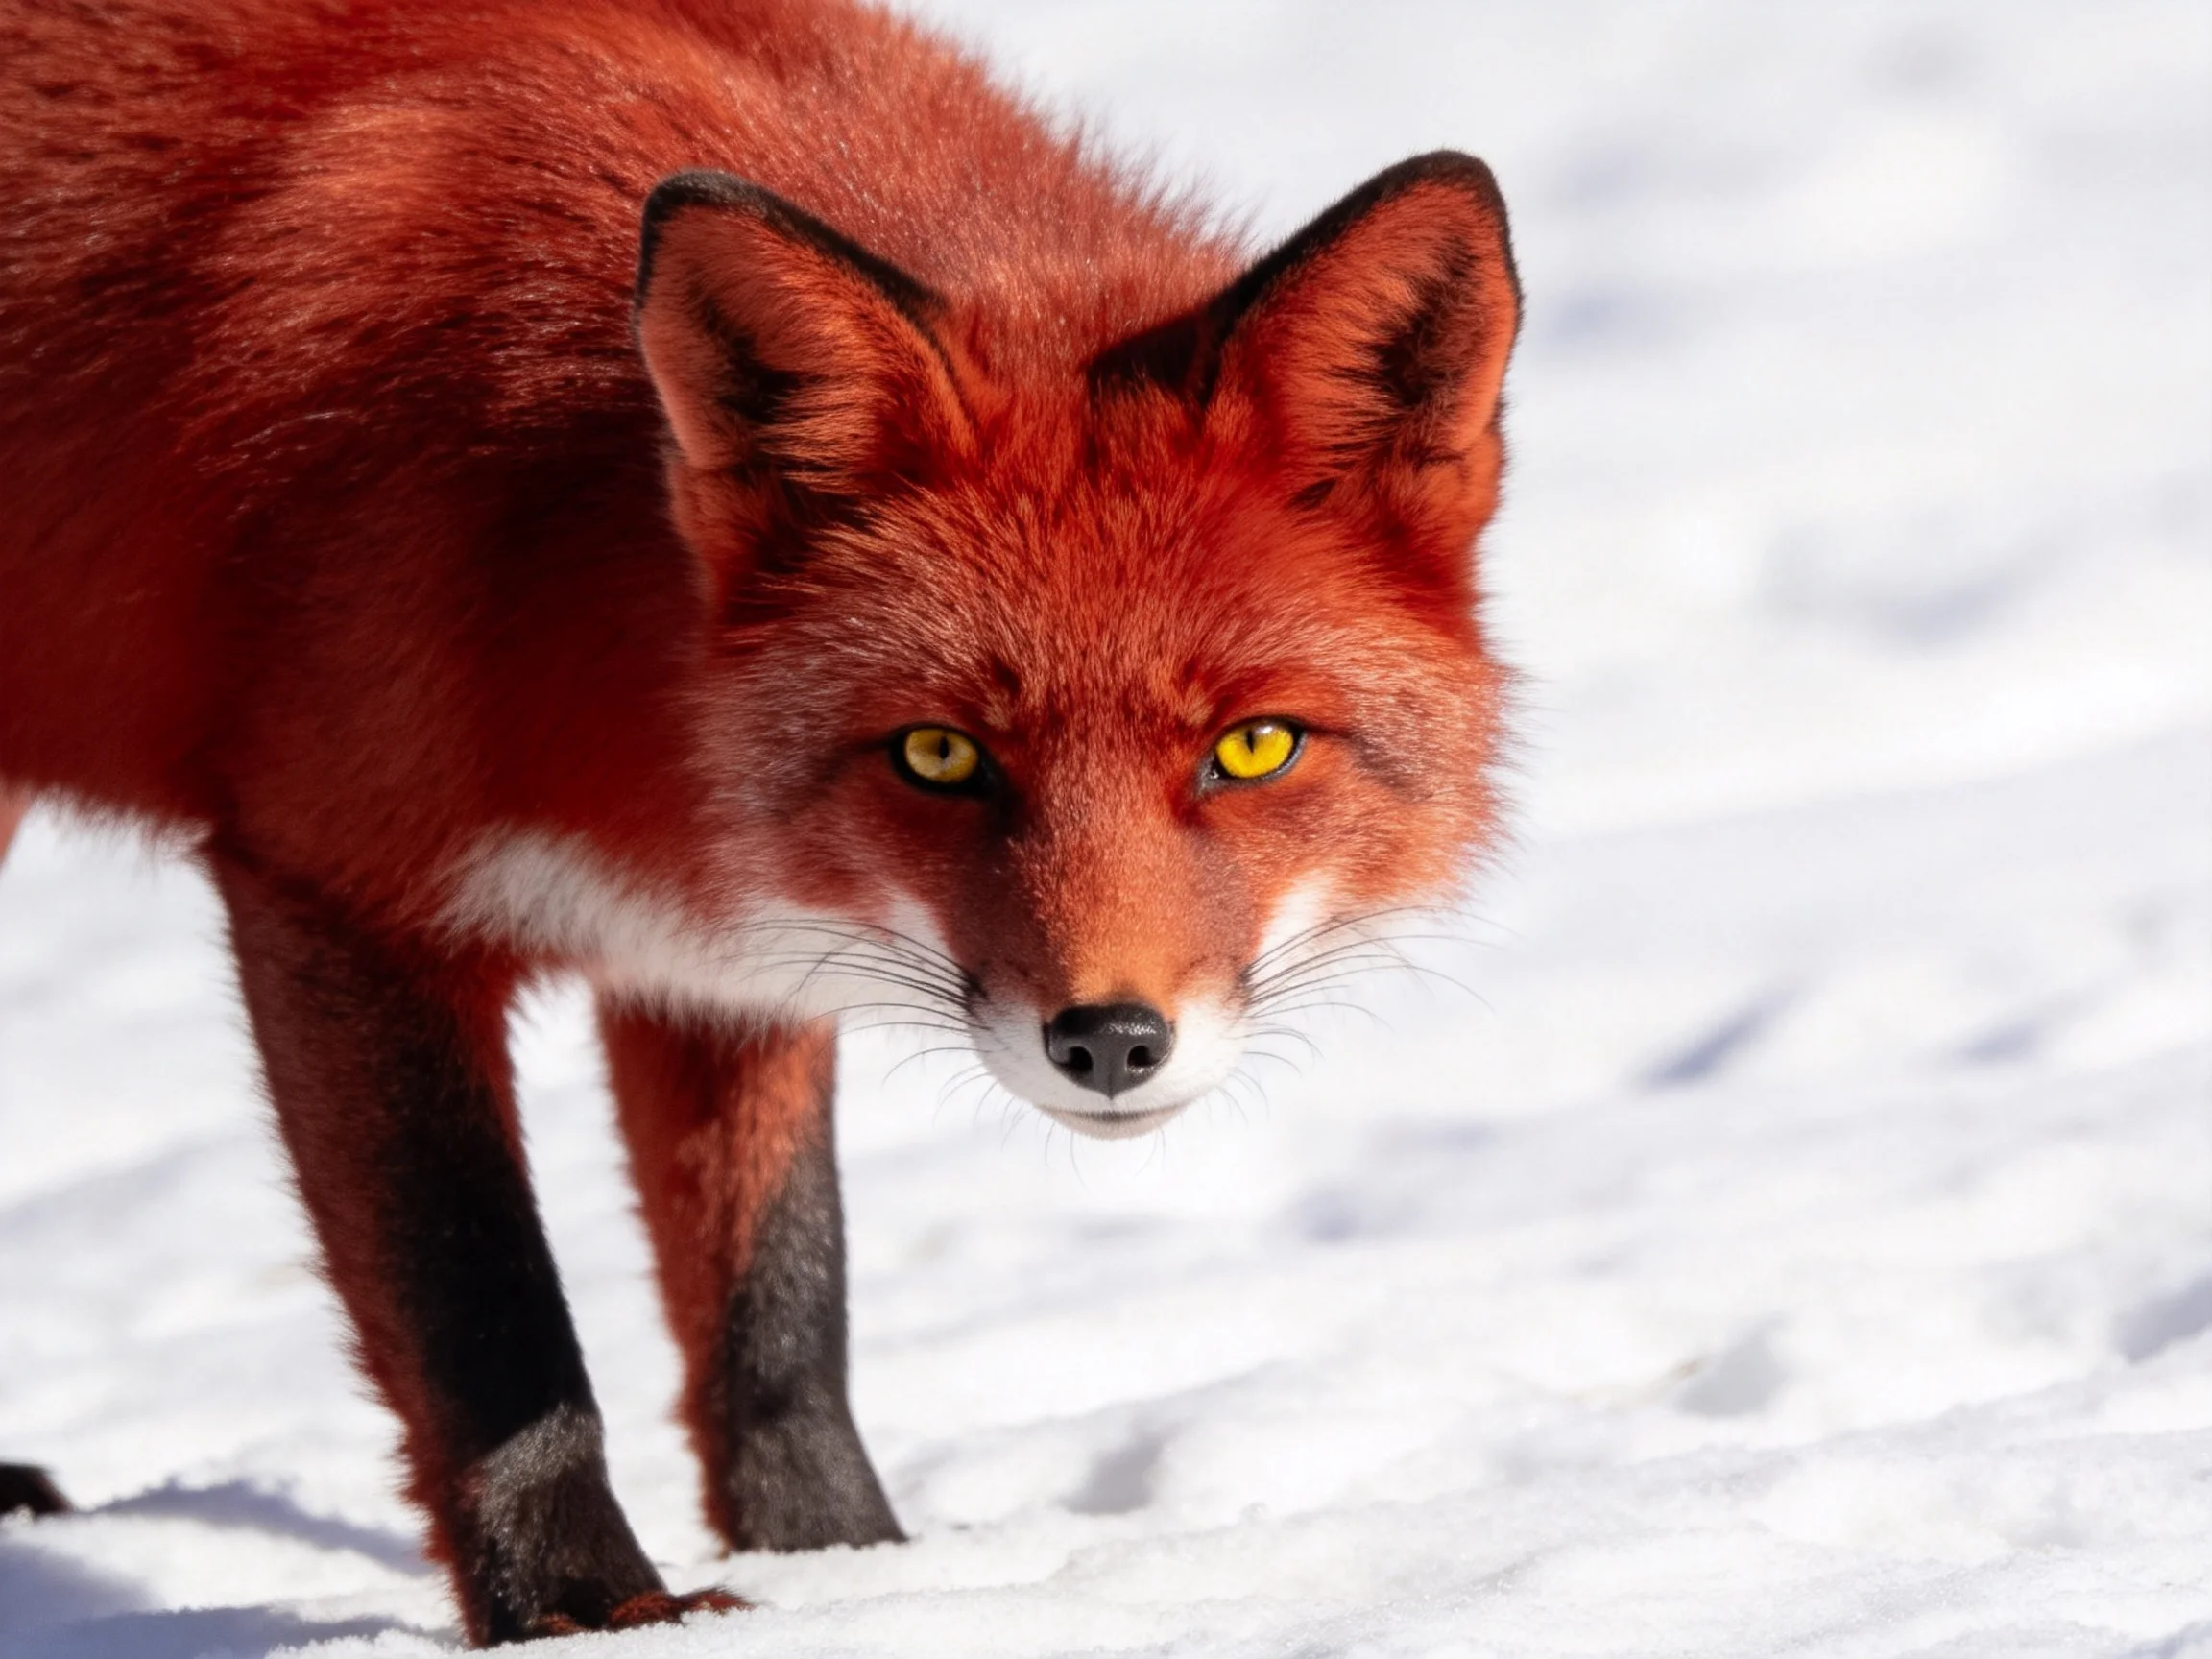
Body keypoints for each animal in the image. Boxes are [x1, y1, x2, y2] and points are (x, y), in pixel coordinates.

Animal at [0, 0, 1520, 1641]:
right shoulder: (336, 891)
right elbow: (487, 1320)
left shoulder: (716, 962)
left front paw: (852, 1572)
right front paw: (583, 1608)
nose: (1111, 1041)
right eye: (939, 754)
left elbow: (780, 1309)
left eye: (1250, 747)